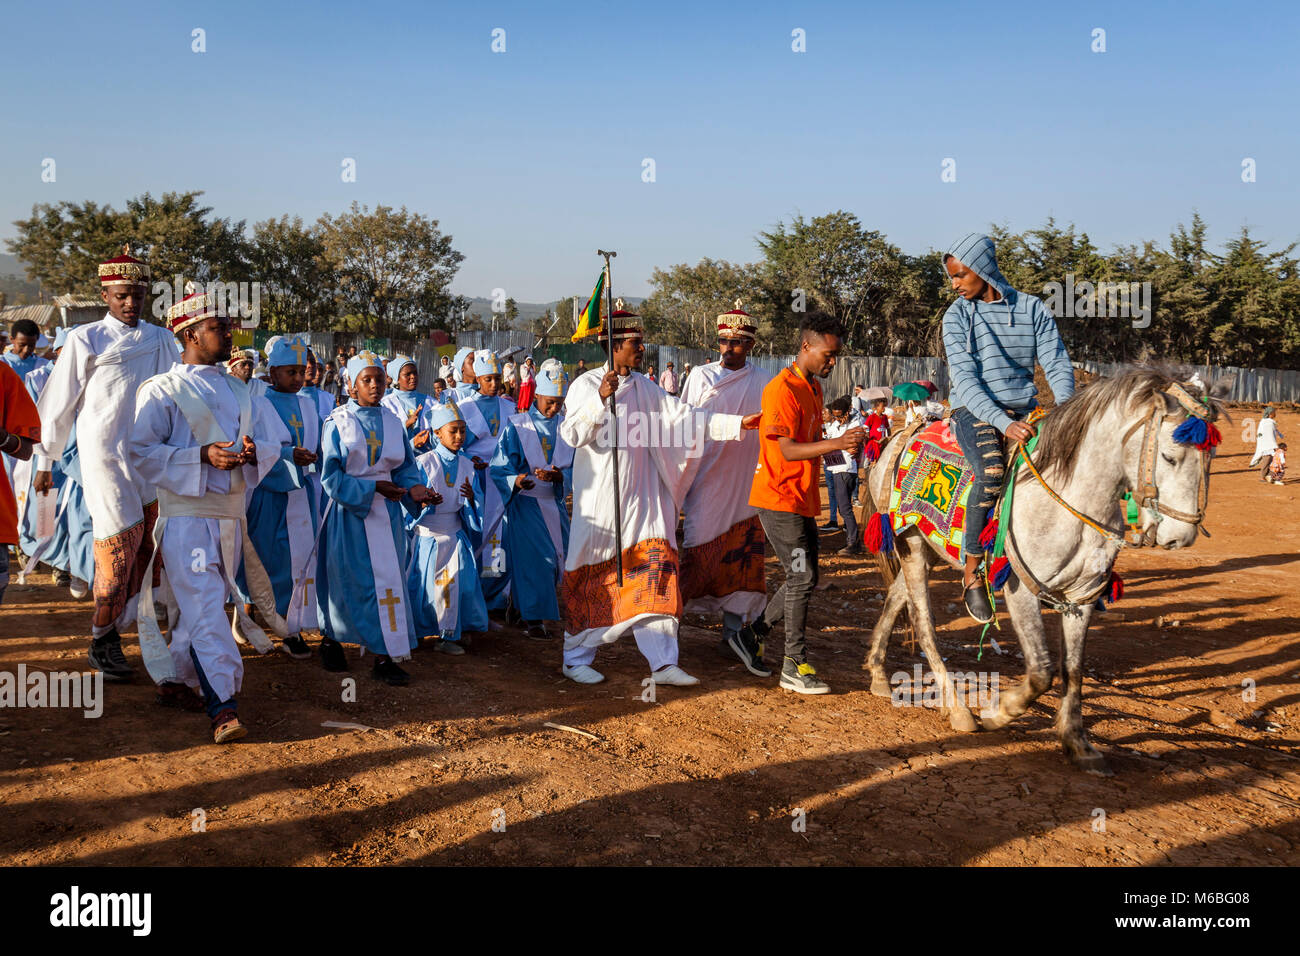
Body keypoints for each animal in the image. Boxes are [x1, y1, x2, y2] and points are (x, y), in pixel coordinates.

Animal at [863, 369, 1227, 775]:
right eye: (1168, 455)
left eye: (1210, 457)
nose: (1180, 536)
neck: (1071, 497)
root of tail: (900, 436)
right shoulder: (1021, 590)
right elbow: (1041, 670)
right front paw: (999, 712)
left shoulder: (1082, 598)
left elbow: (1073, 670)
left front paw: (1077, 742)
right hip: (911, 544)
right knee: (924, 626)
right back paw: (958, 710)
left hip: (926, 550)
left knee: (897, 597)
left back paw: (878, 673)